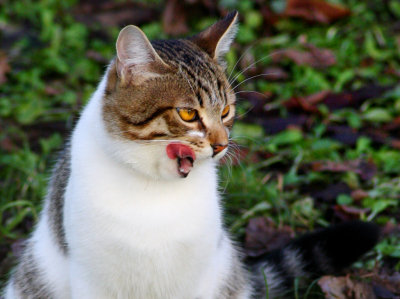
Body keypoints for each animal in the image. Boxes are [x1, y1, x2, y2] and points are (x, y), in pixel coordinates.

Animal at [3, 10, 380, 298]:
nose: (221, 144)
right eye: (187, 114)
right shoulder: (91, 278)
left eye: (226, 111)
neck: (153, 191)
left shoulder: (195, 275)